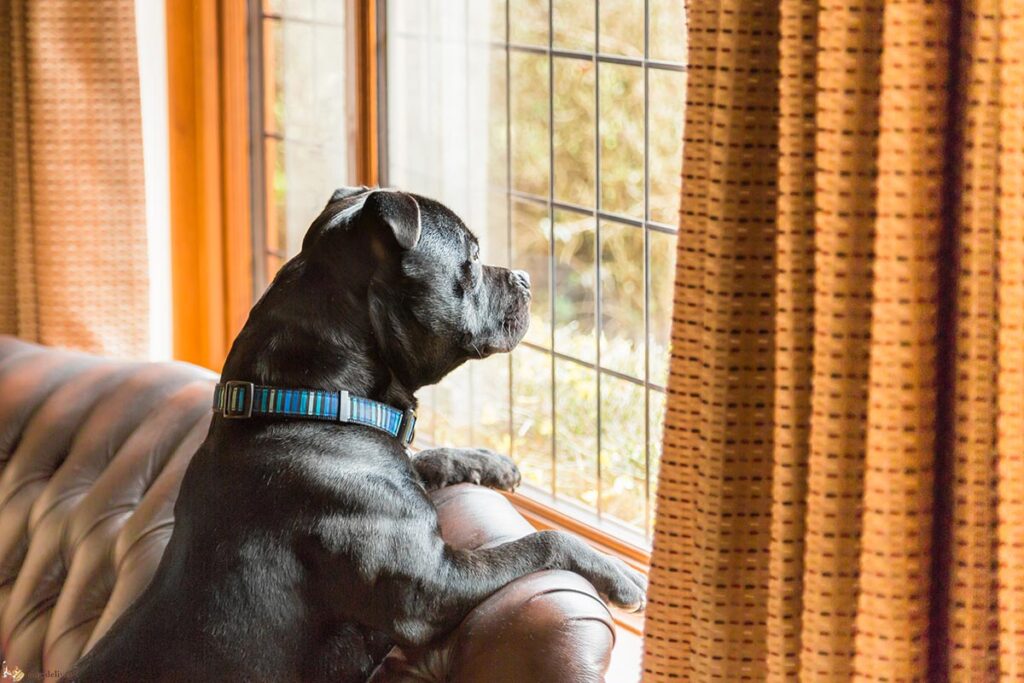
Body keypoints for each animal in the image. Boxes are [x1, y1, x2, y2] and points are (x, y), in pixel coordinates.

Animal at [64, 187, 643, 683]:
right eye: (474, 259)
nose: (524, 278)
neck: (308, 403)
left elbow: (427, 457)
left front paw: (489, 462)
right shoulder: (431, 586)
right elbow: (541, 541)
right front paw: (619, 574)